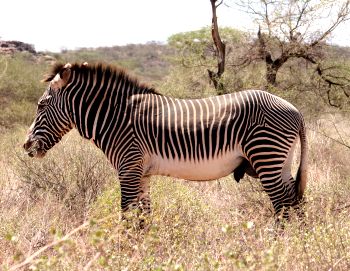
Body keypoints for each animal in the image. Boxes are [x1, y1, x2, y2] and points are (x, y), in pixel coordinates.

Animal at [23, 62, 306, 225]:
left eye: (41, 105)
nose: (26, 147)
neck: (116, 116)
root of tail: (295, 110)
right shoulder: (141, 173)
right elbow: (143, 217)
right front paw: (143, 250)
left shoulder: (128, 168)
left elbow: (127, 214)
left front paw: (123, 253)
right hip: (280, 161)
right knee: (295, 199)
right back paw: (299, 243)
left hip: (266, 155)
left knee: (282, 204)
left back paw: (278, 245)